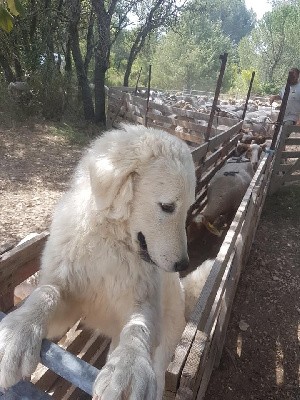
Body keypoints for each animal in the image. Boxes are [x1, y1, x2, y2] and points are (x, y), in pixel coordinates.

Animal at [0, 125, 198, 400]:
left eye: (187, 208)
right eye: (168, 207)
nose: (182, 265)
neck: (110, 242)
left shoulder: (143, 303)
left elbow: (139, 327)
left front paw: (128, 367)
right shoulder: (64, 300)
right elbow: (46, 294)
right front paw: (17, 333)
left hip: (164, 338)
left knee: (157, 371)